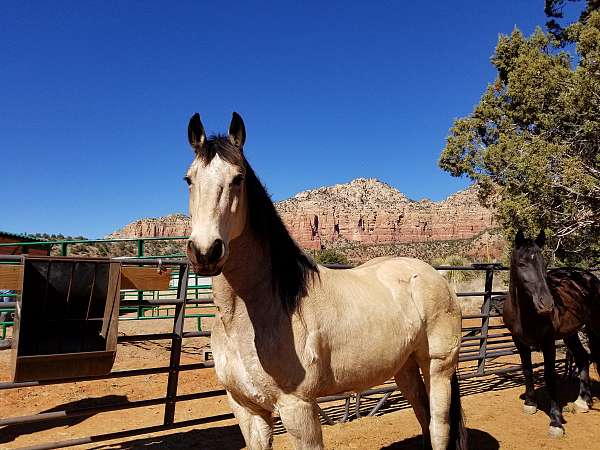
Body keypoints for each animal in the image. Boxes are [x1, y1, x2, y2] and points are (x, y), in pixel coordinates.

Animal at [183, 112, 468, 450]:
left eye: (238, 178)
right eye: (189, 179)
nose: (205, 251)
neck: (250, 316)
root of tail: (436, 277)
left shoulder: (298, 408)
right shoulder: (246, 409)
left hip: (438, 367)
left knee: (438, 427)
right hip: (405, 367)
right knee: (423, 417)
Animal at [506, 230, 600, 438]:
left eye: (545, 264)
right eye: (522, 263)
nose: (547, 304)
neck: (525, 314)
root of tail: (589, 277)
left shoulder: (548, 343)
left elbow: (549, 377)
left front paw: (556, 421)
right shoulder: (519, 342)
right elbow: (527, 370)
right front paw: (530, 403)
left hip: (593, 327)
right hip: (570, 333)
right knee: (582, 357)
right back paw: (582, 401)